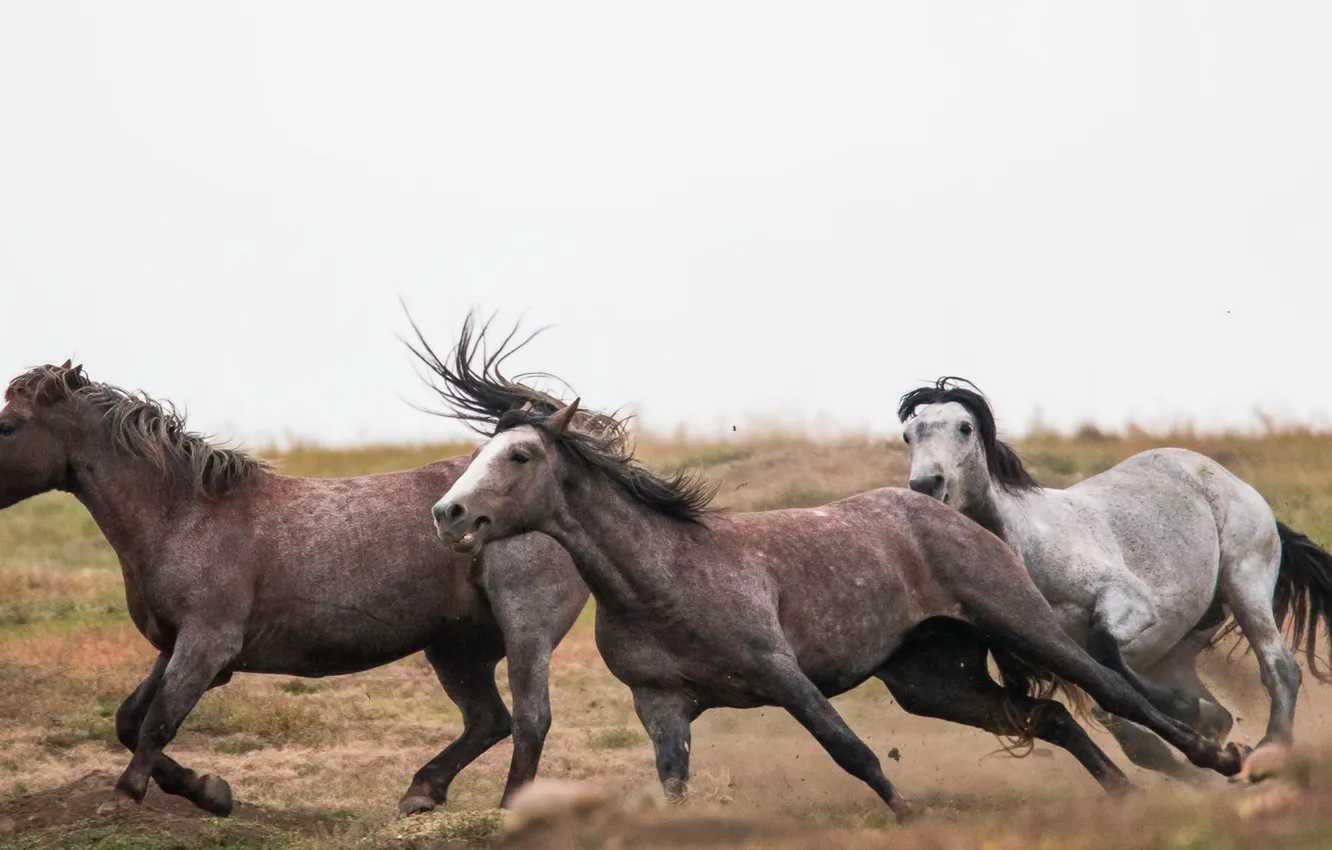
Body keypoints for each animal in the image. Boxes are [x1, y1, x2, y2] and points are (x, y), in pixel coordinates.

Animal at [0, 361, 589, 816]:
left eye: (8, 425)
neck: (186, 515)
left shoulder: (207, 645)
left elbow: (158, 722)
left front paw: (126, 795)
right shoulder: (175, 646)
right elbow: (129, 720)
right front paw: (209, 792)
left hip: (525, 632)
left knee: (530, 721)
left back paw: (507, 810)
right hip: (455, 649)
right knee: (489, 721)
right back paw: (421, 792)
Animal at [409, 315, 1243, 822]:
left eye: (519, 455)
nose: (449, 514)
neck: (663, 579)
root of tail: (946, 512)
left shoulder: (781, 673)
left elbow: (851, 750)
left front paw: (909, 818)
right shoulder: (661, 703)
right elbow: (673, 783)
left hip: (1021, 621)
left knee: (1114, 692)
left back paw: (1218, 757)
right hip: (932, 680)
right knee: (1052, 717)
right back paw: (1125, 795)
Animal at [898, 377, 1332, 783]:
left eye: (964, 427)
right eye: (909, 434)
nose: (926, 485)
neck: (1027, 547)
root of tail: (1225, 478)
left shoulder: (1128, 602)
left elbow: (1104, 650)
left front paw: (1193, 717)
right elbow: (1133, 732)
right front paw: (1203, 736)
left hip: (1245, 583)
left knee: (1280, 668)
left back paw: (1269, 751)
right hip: (1174, 651)